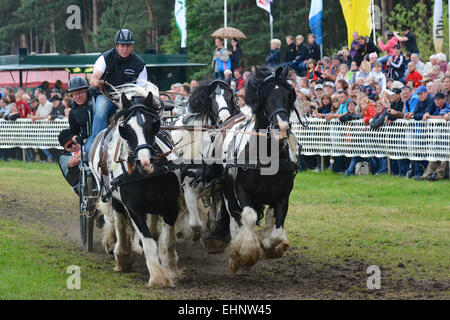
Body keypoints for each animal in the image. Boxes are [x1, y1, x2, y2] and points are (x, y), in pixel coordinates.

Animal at [90, 83, 182, 288]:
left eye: (154, 123)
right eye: (125, 127)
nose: (145, 161)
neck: (147, 175)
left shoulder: (171, 206)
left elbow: (166, 241)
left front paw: (171, 269)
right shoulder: (134, 208)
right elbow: (149, 242)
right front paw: (158, 276)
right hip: (114, 199)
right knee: (118, 223)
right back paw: (121, 254)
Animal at [171, 79, 239, 240]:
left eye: (230, 96)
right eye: (211, 98)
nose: (224, 118)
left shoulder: (223, 185)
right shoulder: (188, 188)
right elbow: (195, 224)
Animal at [216, 66, 300, 274]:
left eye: (287, 96)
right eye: (267, 97)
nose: (282, 127)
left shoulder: (283, 197)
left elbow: (276, 232)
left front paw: (271, 246)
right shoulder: (242, 191)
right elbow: (248, 217)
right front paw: (246, 253)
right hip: (228, 190)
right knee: (234, 217)